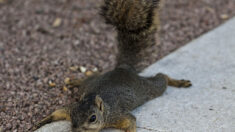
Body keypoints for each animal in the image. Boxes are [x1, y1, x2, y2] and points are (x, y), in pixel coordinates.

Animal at [32, 0, 191, 131]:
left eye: (93, 118)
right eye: (73, 114)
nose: (76, 130)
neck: (104, 110)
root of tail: (123, 68)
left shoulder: (117, 115)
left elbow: (131, 121)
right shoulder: (69, 107)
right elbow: (58, 112)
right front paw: (40, 122)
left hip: (148, 88)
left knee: (161, 78)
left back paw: (179, 82)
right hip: (90, 83)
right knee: (92, 77)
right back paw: (75, 81)